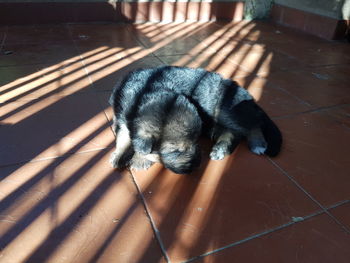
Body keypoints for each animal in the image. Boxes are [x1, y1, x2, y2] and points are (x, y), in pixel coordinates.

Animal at [110, 65, 284, 173]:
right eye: (176, 151)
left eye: (195, 140)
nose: (197, 165)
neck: (145, 92)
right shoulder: (121, 116)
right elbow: (123, 136)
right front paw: (119, 156)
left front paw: (139, 159)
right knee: (234, 131)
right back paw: (221, 148)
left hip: (224, 109)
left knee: (250, 125)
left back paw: (257, 143)